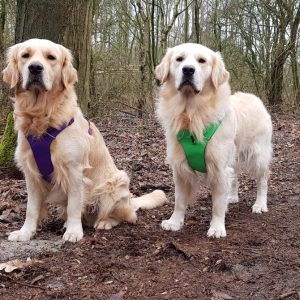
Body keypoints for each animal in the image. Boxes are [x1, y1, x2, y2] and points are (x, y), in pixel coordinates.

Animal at [1, 38, 166, 243]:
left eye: (51, 57)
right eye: (25, 55)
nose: (35, 68)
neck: (43, 116)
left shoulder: (74, 169)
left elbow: (74, 205)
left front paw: (73, 232)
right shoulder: (31, 173)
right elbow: (31, 209)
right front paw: (25, 232)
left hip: (116, 182)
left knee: (126, 216)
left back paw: (104, 222)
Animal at [156, 43, 274, 238]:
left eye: (202, 60)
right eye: (179, 59)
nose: (188, 70)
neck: (191, 113)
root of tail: (254, 98)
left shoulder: (219, 168)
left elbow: (217, 204)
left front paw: (217, 227)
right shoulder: (179, 168)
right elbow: (179, 200)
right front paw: (174, 222)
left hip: (258, 155)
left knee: (262, 179)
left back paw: (260, 204)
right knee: (234, 175)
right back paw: (232, 197)